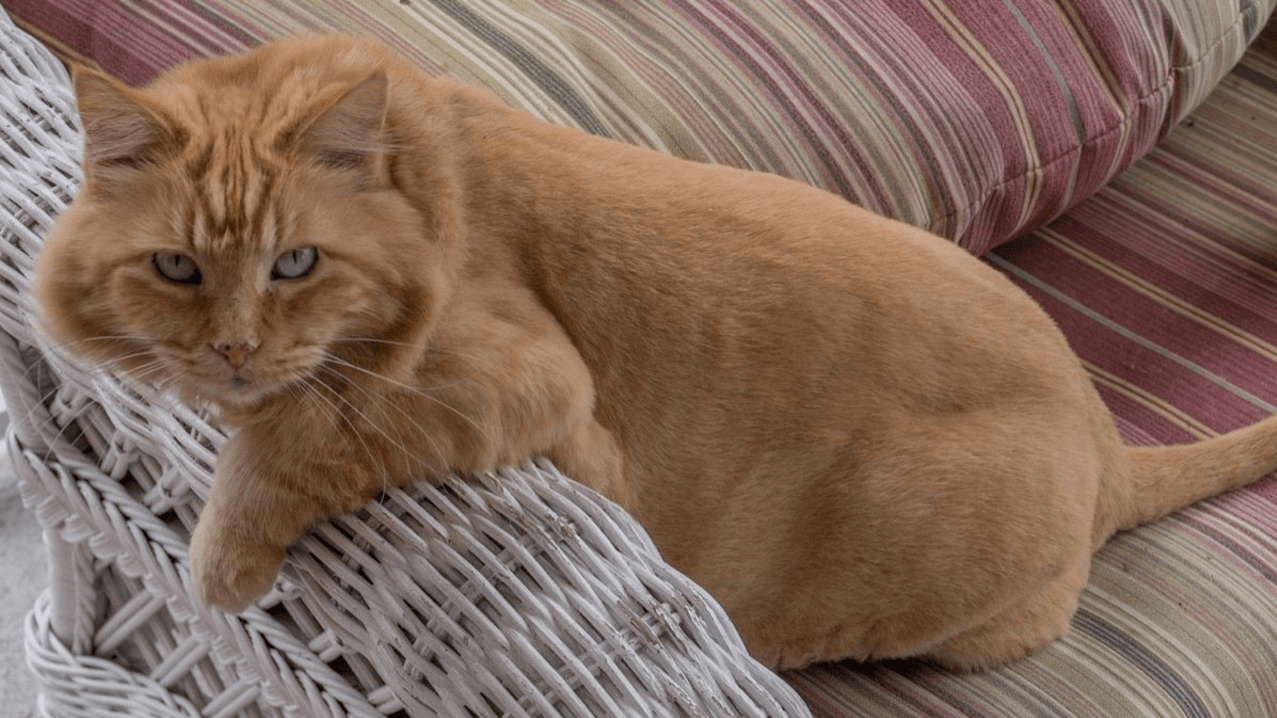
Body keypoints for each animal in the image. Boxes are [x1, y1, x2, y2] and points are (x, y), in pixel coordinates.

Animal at [32, 34, 1277, 669]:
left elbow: (303, 425)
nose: (232, 350)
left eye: (295, 263)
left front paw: (221, 553)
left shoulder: (519, 385)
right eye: (176, 269)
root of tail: (1108, 440)